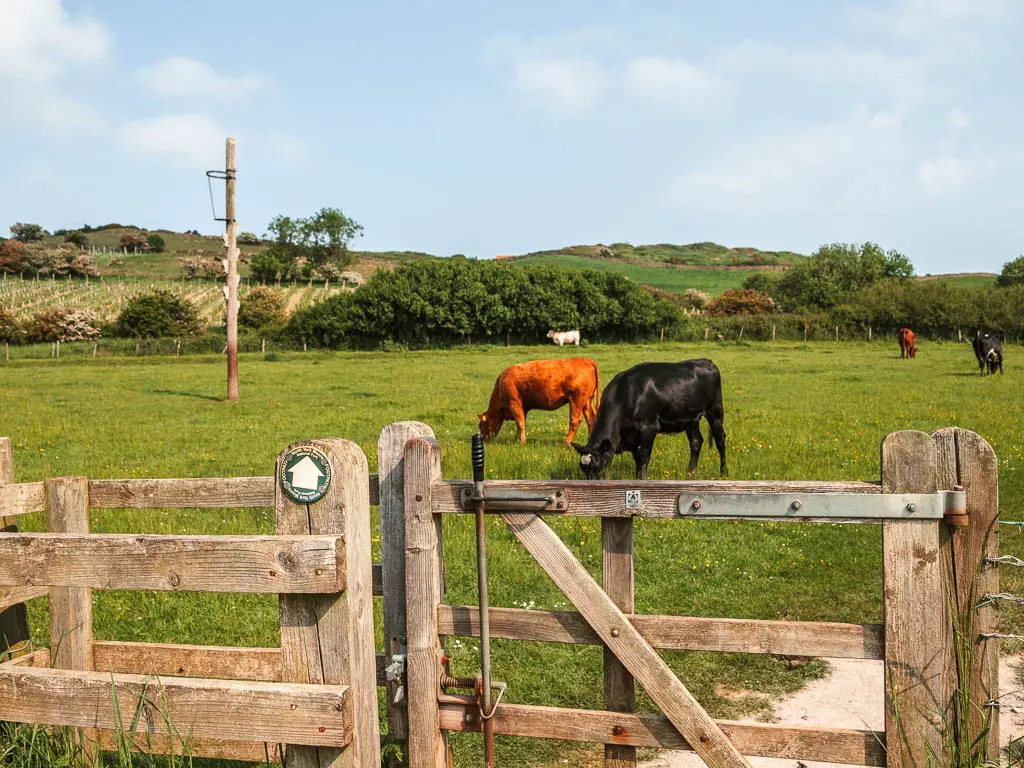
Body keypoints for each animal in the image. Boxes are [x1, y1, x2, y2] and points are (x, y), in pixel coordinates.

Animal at [569, 360, 729, 481]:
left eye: (598, 465)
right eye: (583, 469)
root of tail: (706, 362)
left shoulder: (648, 428)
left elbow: (643, 457)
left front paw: (642, 480)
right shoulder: (633, 436)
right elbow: (637, 459)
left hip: (715, 411)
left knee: (720, 440)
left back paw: (724, 472)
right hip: (691, 419)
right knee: (696, 442)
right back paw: (690, 473)